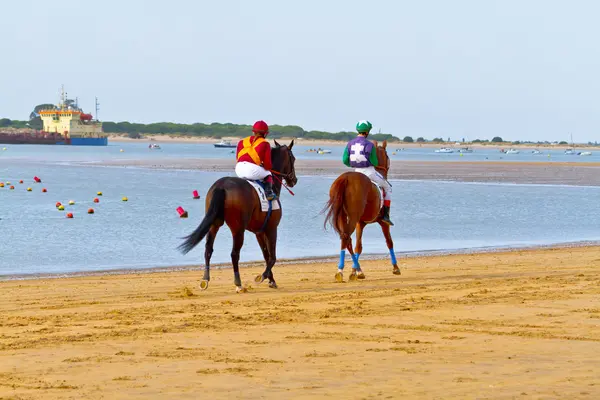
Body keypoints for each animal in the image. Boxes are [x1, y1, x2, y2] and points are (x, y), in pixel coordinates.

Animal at [179, 140, 298, 290]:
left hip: (214, 224)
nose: (294, 180)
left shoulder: (259, 232)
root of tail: (221, 186)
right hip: (238, 229)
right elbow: (272, 257)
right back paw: (238, 283)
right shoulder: (271, 228)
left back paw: (205, 279)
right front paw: (262, 277)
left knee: (208, 249)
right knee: (234, 253)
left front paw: (271, 280)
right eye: (293, 158)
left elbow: (266, 254)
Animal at [322, 140, 400, 282]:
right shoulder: (382, 223)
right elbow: (389, 242)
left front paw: (354, 271)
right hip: (352, 217)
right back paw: (345, 271)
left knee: (346, 239)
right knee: (346, 237)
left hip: (343, 216)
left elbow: (359, 246)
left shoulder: (360, 223)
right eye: (387, 156)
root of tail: (346, 178)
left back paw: (352, 270)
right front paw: (396, 267)